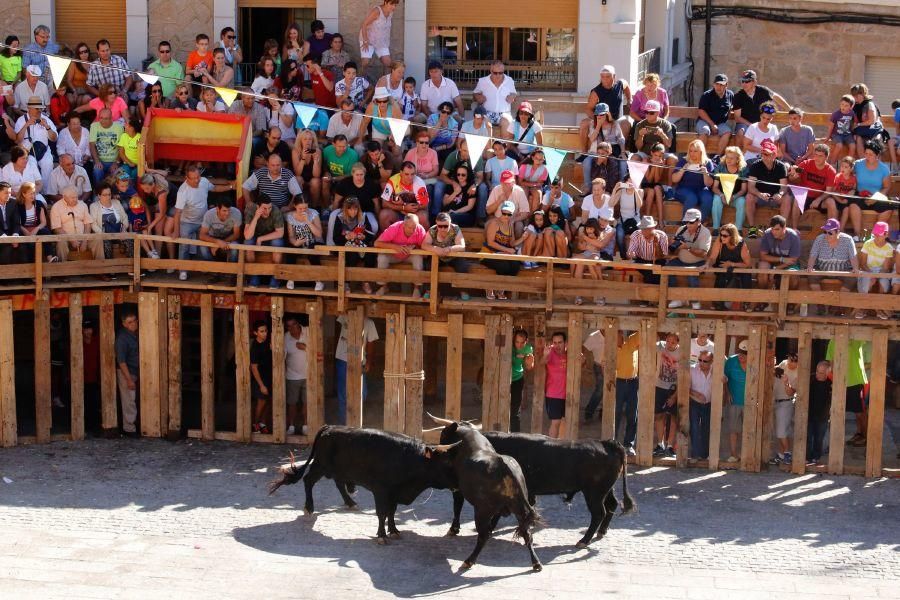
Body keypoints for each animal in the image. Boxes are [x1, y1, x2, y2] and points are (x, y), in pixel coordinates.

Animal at [428, 414, 632, 548]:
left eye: (444, 435)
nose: (434, 451)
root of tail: (607, 443)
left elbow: (462, 506)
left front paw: (459, 529)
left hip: (594, 493)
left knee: (599, 513)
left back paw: (584, 540)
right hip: (606, 489)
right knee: (612, 505)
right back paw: (601, 532)